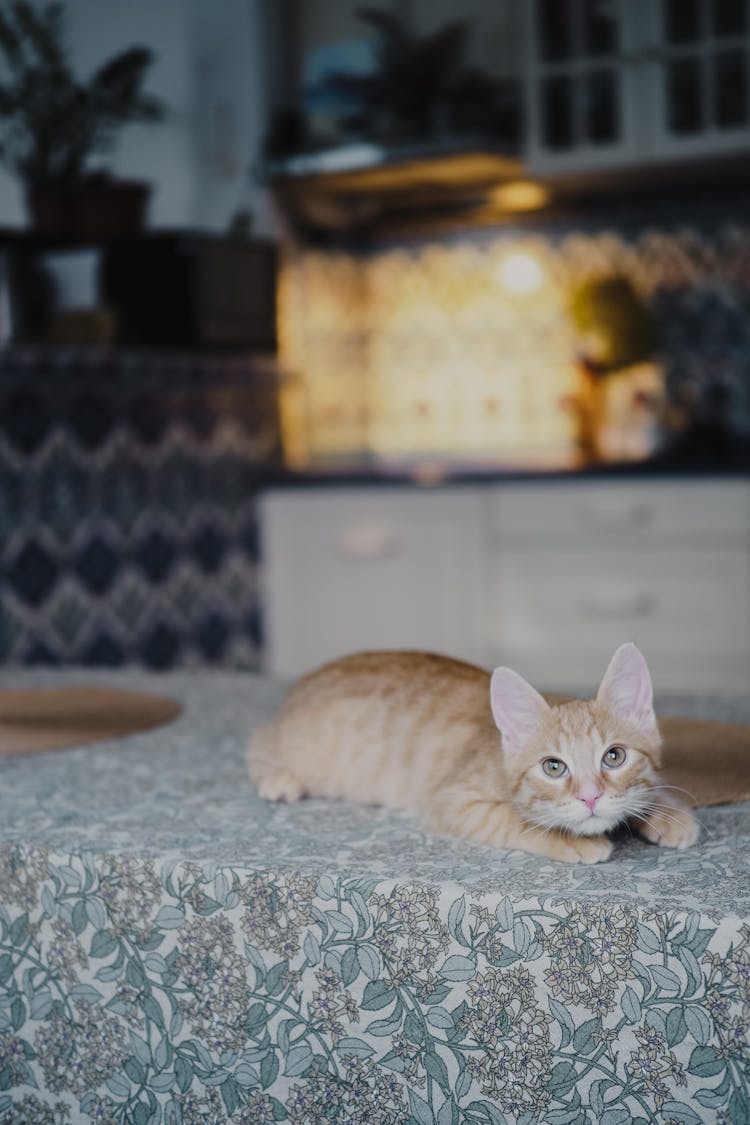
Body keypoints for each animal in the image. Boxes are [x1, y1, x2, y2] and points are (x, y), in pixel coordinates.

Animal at [250, 643, 697, 859]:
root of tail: (303, 682)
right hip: (292, 743)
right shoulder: (451, 800)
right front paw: (572, 839)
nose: (591, 797)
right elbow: (513, 821)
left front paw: (666, 813)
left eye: (614, 756)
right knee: (257, 743)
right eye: (553, 767)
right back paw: (277, 778)